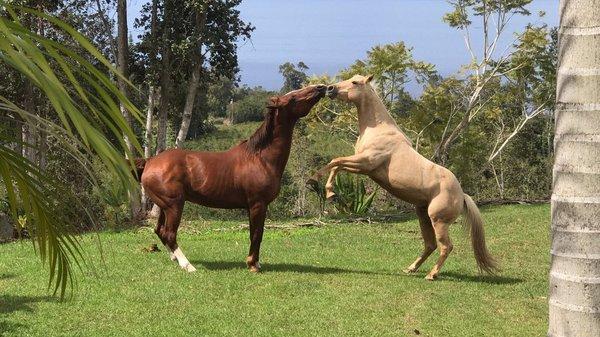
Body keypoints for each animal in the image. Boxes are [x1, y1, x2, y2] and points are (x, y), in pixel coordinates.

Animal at [135, 85, 326, 272]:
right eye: (292, 97)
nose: (321, 88)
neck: (261, 158)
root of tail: (150, 161)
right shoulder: (258, 204)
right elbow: (257, 234)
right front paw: (253, 265)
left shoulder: (252, 207)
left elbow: (254, 233)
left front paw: (255, 263)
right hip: (174, 206)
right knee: (169, 234)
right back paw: (188, 265)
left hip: (164, 207)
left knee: (160, 231)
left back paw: (175, 259)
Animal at [310, 75, 496, 280]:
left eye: (355, 83)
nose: (330, 89)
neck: (380, 130)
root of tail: (462, 196)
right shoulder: (362, 165)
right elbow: (336, 165)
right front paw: (328, 192)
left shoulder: (366, 164)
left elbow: (335, 162)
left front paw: (320, 185)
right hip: (423, 216)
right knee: (430, 244)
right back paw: (410, 268)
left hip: (438, 220)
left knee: (446, 246)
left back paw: (431, 275)